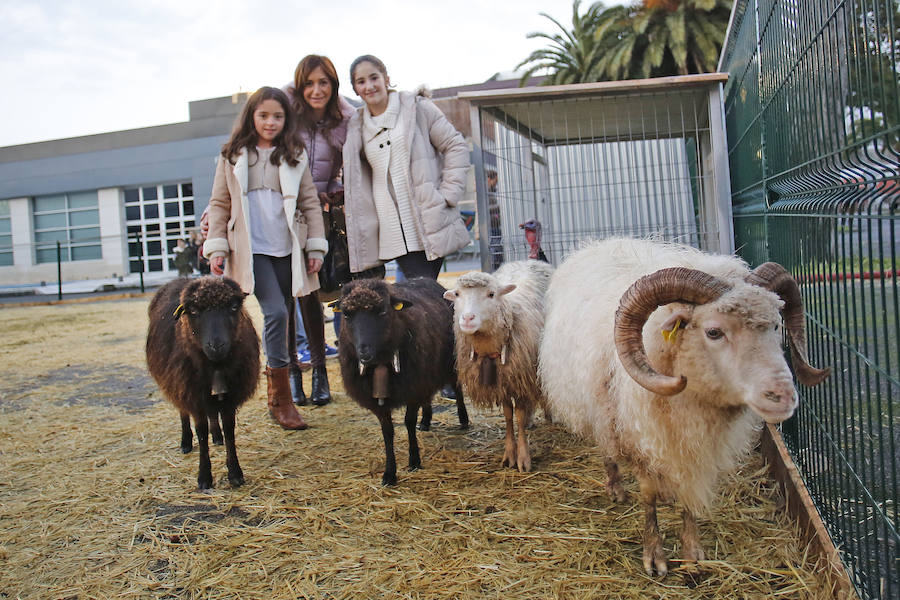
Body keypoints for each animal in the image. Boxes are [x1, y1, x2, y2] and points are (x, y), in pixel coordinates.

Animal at [146, 278, 260, 490]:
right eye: (193, 311)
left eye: (234, 307)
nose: (216, 346)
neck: (216, 366)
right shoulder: (193, 395)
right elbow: (201, 432)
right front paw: (204, 477)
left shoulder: (229, 399)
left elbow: (229, 429)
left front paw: (235, 473)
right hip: (180, 386)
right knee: (183, 413)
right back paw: (185, 442)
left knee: (213, 415)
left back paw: (217, 436)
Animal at [334, 278, 468, 486]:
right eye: (346, 315)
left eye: (382, 311)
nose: (364, 353)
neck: (381, 362)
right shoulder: (384, 397)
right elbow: (387, 431)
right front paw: (389, 473)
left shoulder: (412, 388)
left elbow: (408, 422)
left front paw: (414, 460)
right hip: (425, 372)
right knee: (427, 397)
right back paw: (426, 420)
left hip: (448, 362)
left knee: (457, 388)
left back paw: (463, 419)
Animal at [444, 260, 556, 472]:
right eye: (457, 294)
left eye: (491, 294)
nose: (467, 318)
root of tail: (531, 260)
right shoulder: (503, 382)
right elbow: (507, 415)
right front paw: (509, 454)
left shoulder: (519, 378)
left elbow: (518, 415)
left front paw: (523, 457)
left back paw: (549, 415)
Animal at [536, 238, 828, 576]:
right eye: (713, 332)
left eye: (777, 325)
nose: (782, 396)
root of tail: (601, 242)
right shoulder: (639, 434)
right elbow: (648, 496)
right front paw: (654, 555)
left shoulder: (694, 448)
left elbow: (689, 494)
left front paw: (691, 552)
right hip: (599, 407)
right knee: (607, 447)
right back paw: (616, 487)